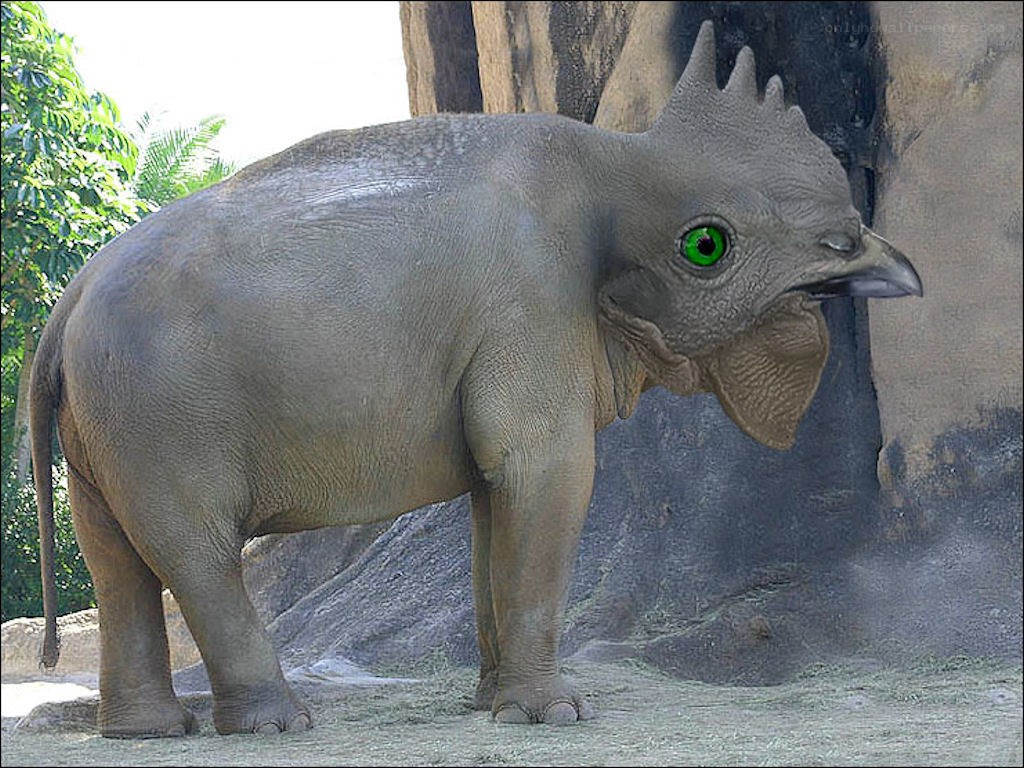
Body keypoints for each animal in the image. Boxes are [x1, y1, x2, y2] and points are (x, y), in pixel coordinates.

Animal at [30, 22, 921, 736]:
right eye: (708, 246)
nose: (901, 271)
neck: (614, 156)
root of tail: (65, 304)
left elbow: (497, 500)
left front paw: (495, 706)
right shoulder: (531, 308)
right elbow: (545, 472)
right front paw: (556, 716)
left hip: (101, 429)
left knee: (116, 560)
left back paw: (147, 733)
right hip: (160, 417)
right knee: (196, 552)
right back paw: (277, 726)